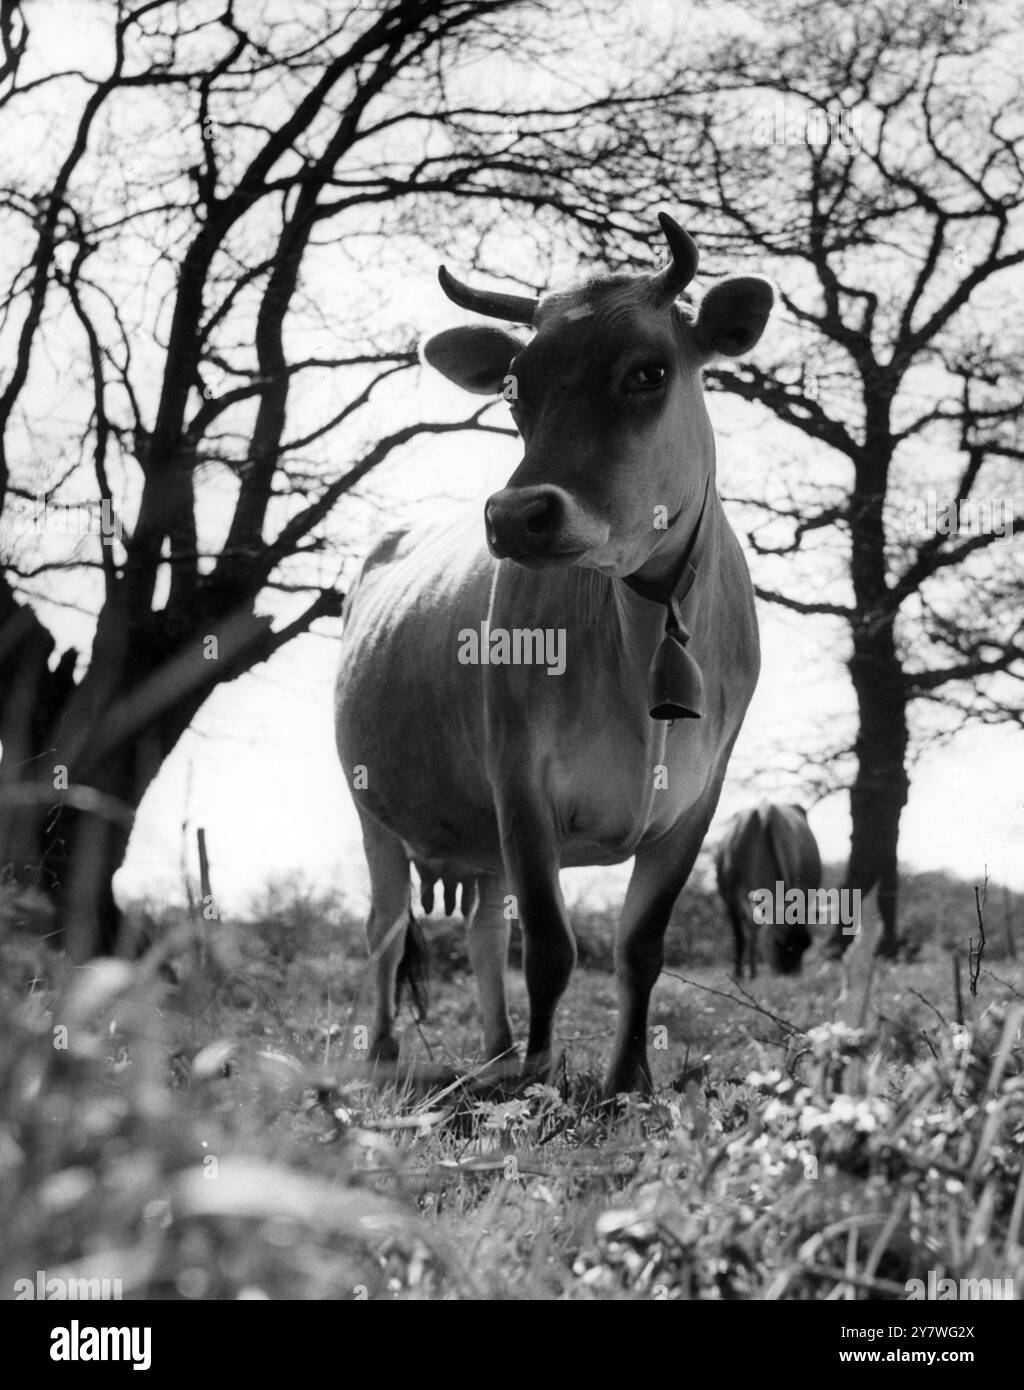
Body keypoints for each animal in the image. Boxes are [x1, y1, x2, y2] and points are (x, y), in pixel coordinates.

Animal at [335, 213, 774, 1096]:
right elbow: (547, 947)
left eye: (649, 370)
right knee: (387, 929)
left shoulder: (698, 801)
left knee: (478, 929)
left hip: (480, 838)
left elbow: (640, 948)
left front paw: (628, 1078)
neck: (646, 623)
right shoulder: (520, 782)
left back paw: (497, 1049)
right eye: (515, 389)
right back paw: (391, 1054)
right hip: (373, 810)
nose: (515, 515)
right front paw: (540, 1079)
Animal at [714, 802, 822, 978]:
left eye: (807, 944)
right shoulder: (730, 898)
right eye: (778, 942)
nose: (792, 976)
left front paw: (752, 972)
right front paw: (739, 974)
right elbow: (740, 936)